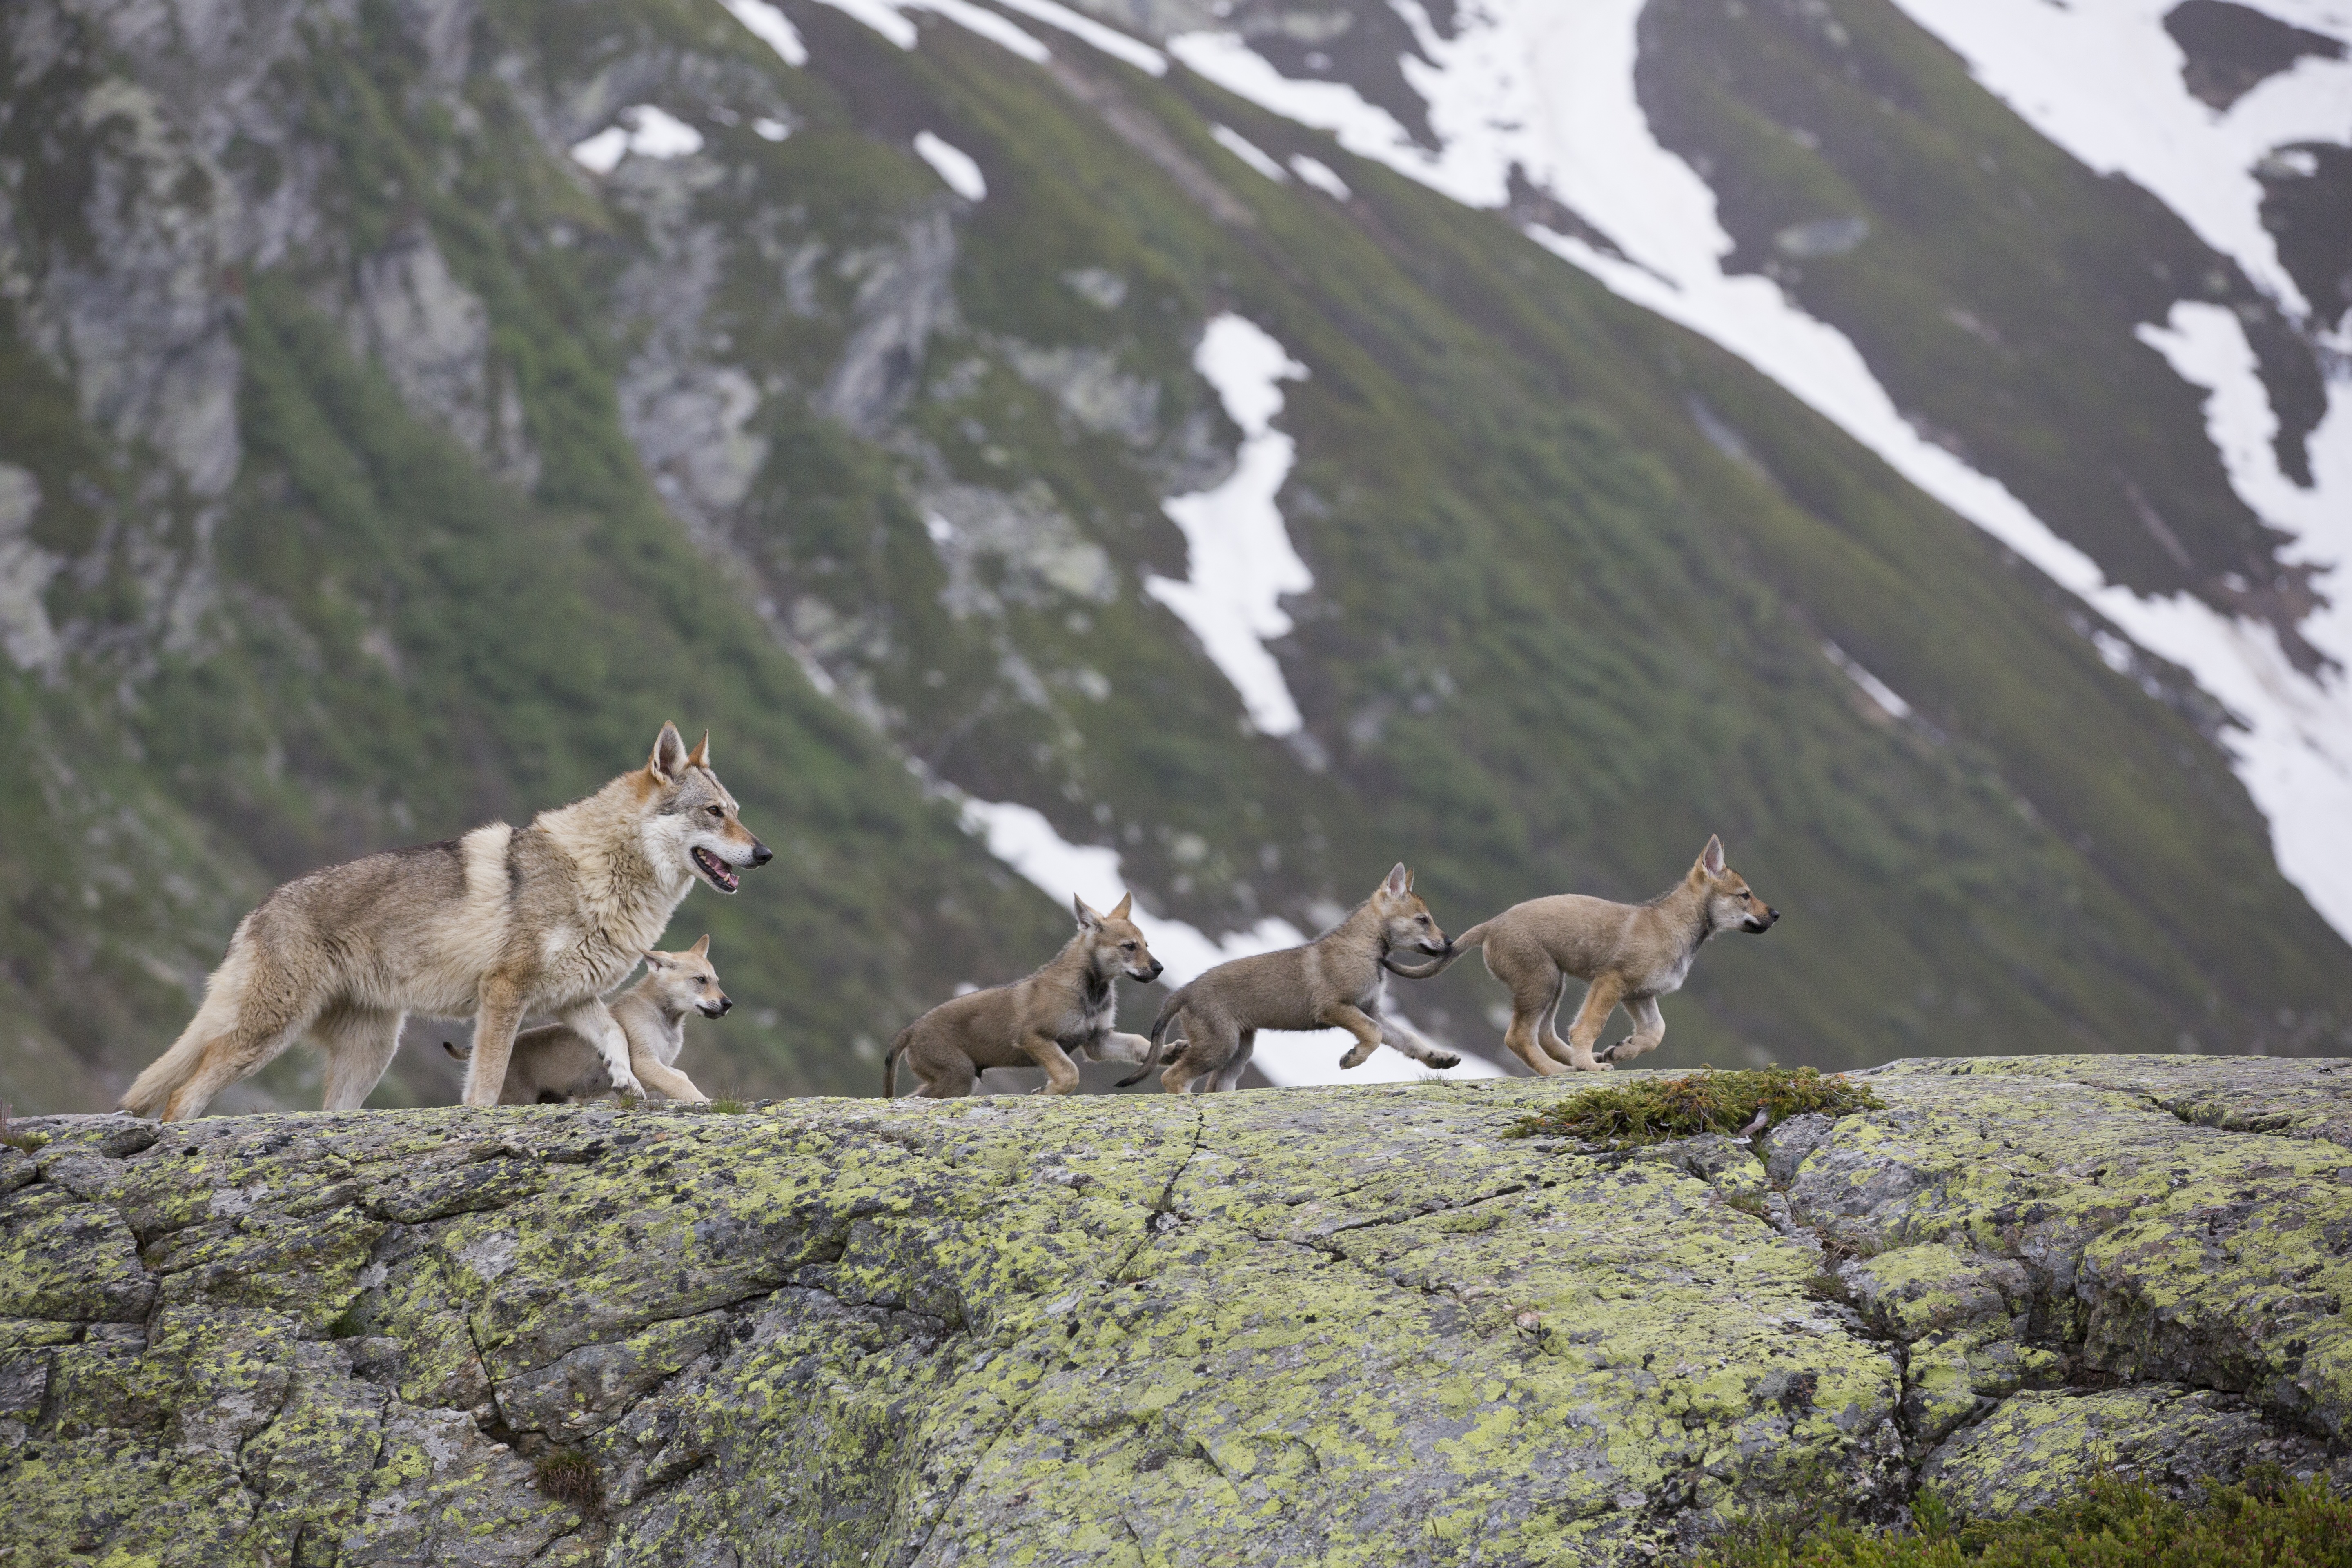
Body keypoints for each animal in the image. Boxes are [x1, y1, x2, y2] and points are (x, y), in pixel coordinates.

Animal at [442, 935, 727, 1104]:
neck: (663, 1017)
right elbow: (680, 1083)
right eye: (700, 980)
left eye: (716, 981)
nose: (728, 1004)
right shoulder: (644, 1063)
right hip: (518, 1099)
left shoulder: (662, 1064)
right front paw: (705, 1102)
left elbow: (682, 1076)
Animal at [886, 894, 1165, 1097]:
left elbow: (1140, 1043)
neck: (1091, 993)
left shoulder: (1097, 1040)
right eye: (1129, 946)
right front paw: (1045, 1092)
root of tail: (909, 1031)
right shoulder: (1033, 1037)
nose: (1159, 968)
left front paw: (1171, 1052)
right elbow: (1070, 1073)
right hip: (959, 1076)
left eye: (1147, 945)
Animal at [1118, 864, 1459, 1095]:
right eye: (1423, 920)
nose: (1450, 942)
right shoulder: (1336, 1008)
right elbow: (1374, 1036)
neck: (1364, 948)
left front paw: (1440, 1058)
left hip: (1240, 1050)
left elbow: (1408, 1039)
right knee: (1172, 1077)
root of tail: (1184, 991)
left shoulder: (1370, 1009)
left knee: (1215, 1086)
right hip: (1220, 1045)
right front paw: (1351, 1059)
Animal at [1388, 835, 1776, 1074]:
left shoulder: (1639, 995)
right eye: (1745, 895)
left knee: (1544, 1034)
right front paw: (1594, 1064)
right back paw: (1560, 1070)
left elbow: (1655, 1033)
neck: (1676, 924)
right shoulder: (1612, 982)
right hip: (1541, 983)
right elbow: (1590, 1025)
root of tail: (1490, 925)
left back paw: (1573, 1063)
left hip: (1553, 984)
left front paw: (1621, 1050)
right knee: (1519, 1037)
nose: (1776, 914)